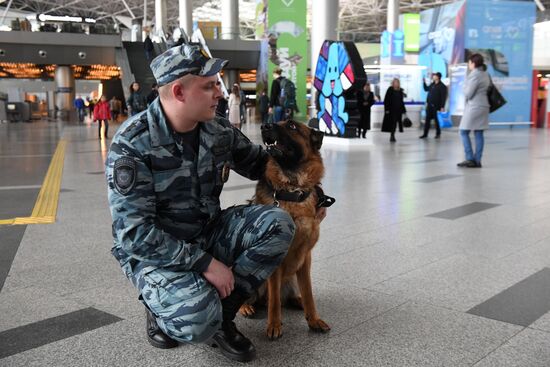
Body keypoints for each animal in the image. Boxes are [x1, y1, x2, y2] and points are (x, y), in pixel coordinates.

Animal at [239, 120, 334, 340]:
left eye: (292, 126)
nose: (264, 125)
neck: (292, 189)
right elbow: (274, 300)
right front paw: (274, 325)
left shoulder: (305, 257)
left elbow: (308, 292)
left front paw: (313, 319)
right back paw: (246, 307)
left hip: (291, 278)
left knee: (288, 296)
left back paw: (296, 301)